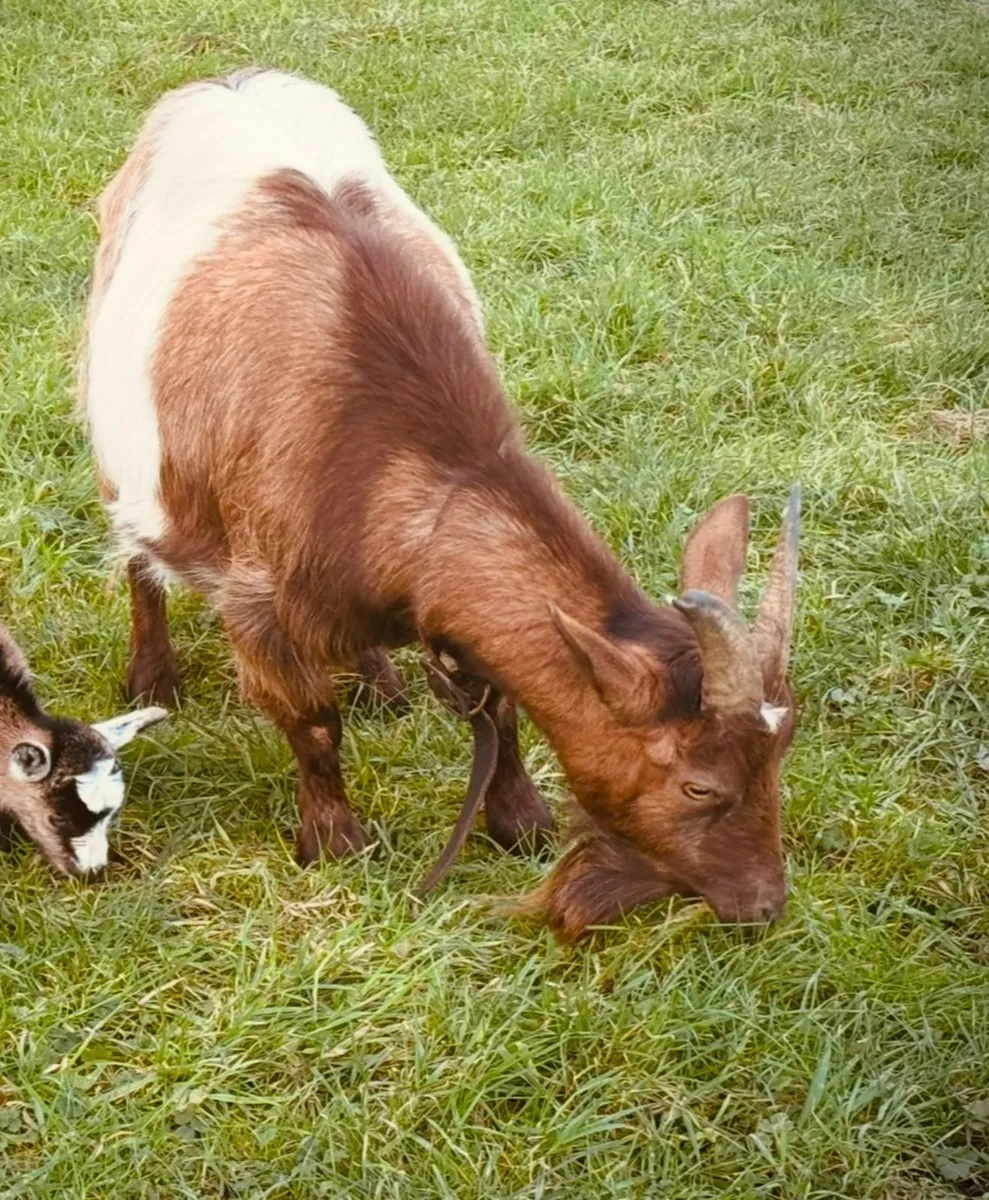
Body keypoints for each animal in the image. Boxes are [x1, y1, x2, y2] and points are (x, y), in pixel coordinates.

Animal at [80, 69, 800, 938]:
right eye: (698, 783)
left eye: (780, 752)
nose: (762, 905)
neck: (391, 459)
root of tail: (227, 80)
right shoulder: (256, 601)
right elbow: (311, 720)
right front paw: (335, 842)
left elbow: (500, 704)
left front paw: (521, 821)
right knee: (138, 557)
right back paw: (154, 680)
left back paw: (379, 680)